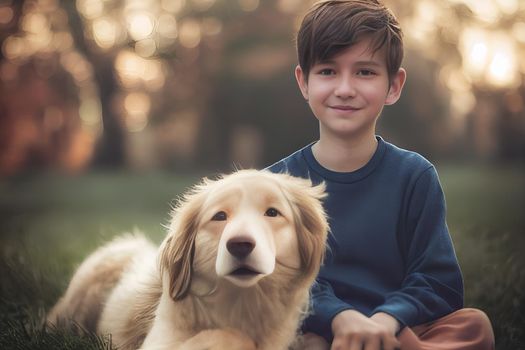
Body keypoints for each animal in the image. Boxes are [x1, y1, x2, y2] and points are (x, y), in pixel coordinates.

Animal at [48, 169, 328, 348]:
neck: (241, 301)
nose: (240, 245)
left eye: (272, 213)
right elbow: (230, 336)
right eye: (219, 216)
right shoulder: (159, 341)